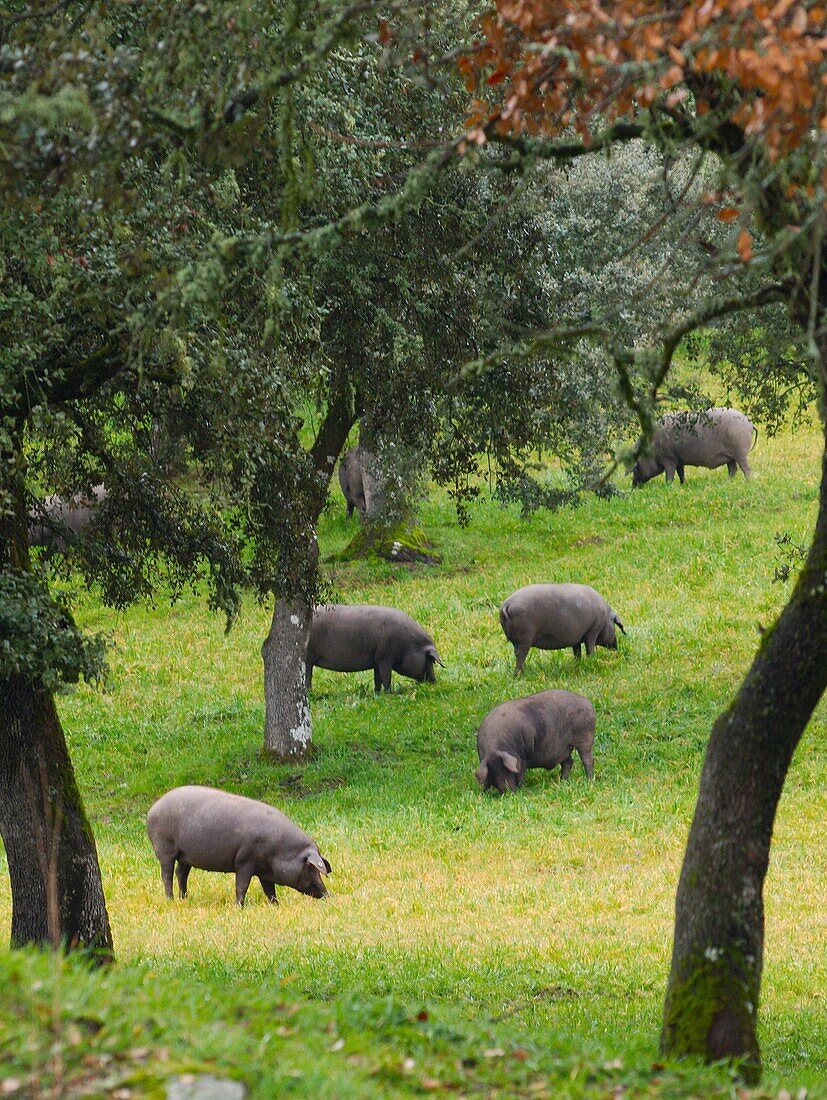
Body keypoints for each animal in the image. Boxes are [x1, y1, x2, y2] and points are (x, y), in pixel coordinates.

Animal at [147, 787, 332, 906]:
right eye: (311, 867)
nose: (327, 895)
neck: (279, 851)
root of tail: (152, 810)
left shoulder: (264, 870)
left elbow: (269, 890)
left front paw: (276, 905)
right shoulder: (245, 862)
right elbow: (242, 886)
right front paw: (239, 906)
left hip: (186, 855)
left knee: (181, 873)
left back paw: (184, 898)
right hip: (165, 849)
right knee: (167, 875)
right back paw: (170, 900)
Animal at [307, 607, 442, 690]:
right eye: (431, 660)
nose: (434, 682)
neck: (407, 645)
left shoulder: (377, 660)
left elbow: (377, 679)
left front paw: (377, 693)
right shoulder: (385, 658)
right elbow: (386, 678)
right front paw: (389, 693)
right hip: (308, 658)